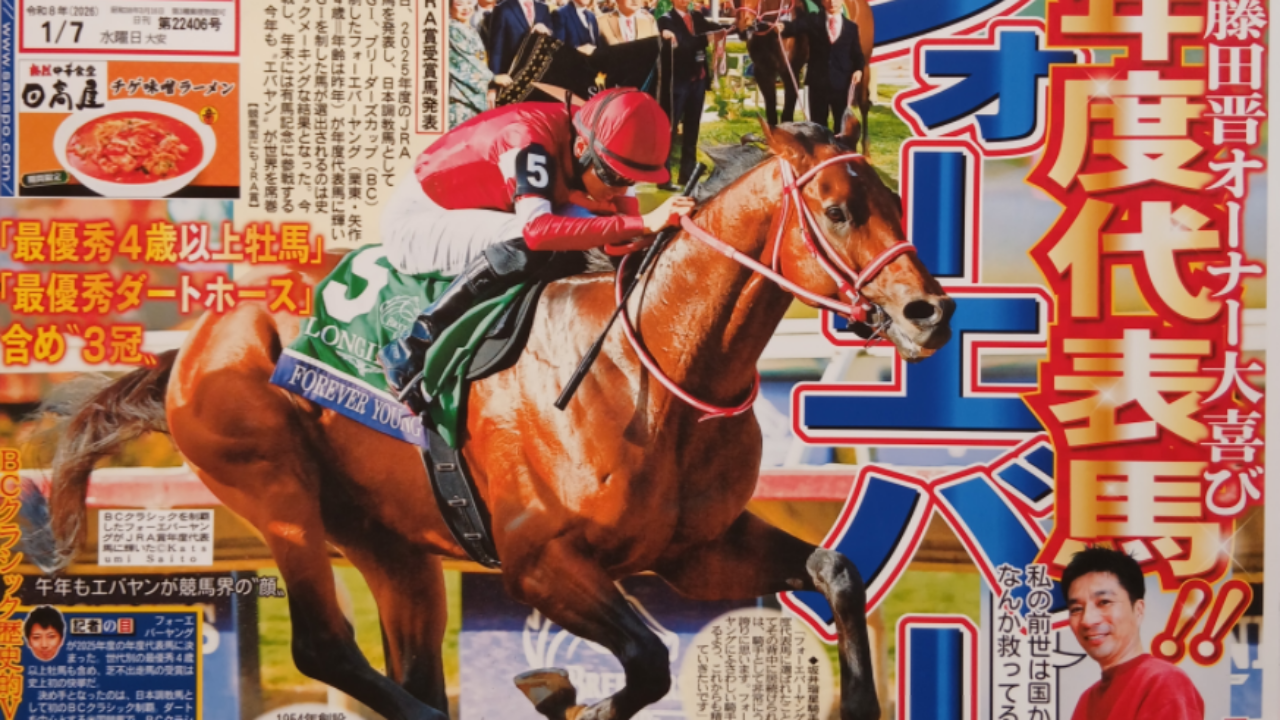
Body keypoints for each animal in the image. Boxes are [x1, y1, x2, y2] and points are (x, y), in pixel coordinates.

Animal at [27, 122, 953, 720]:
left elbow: (837, 571)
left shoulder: (696, 550)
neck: (653, 371)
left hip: (389, 543)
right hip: (275, 491)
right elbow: (648, 662)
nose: (928, 312)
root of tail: (195, 343)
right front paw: (563, 695)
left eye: (898, 197)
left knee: (402, 658)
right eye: (836, 209)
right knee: (325, 646)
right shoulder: (538, 563)